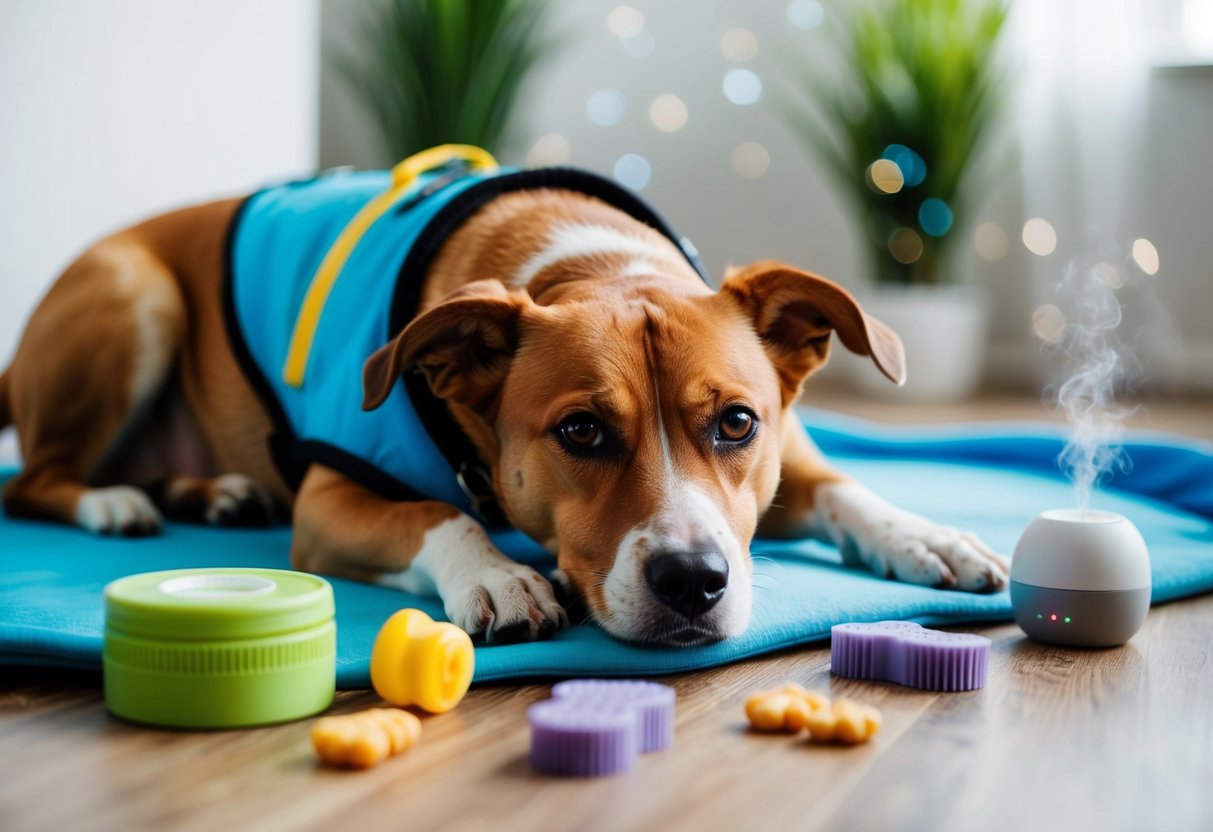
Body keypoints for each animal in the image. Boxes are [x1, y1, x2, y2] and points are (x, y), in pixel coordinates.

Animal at [0, 148, 1004, 645]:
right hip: (134, 293)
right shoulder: (329, 498)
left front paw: (926, 536)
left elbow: (844, 489)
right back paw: (110, 501)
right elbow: (435, 516)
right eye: (580, 431)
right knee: (31, 480)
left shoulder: (782, 459)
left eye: (736, 422)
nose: (694, 581)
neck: (587, 261)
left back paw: (212, 491)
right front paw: (498, 575)